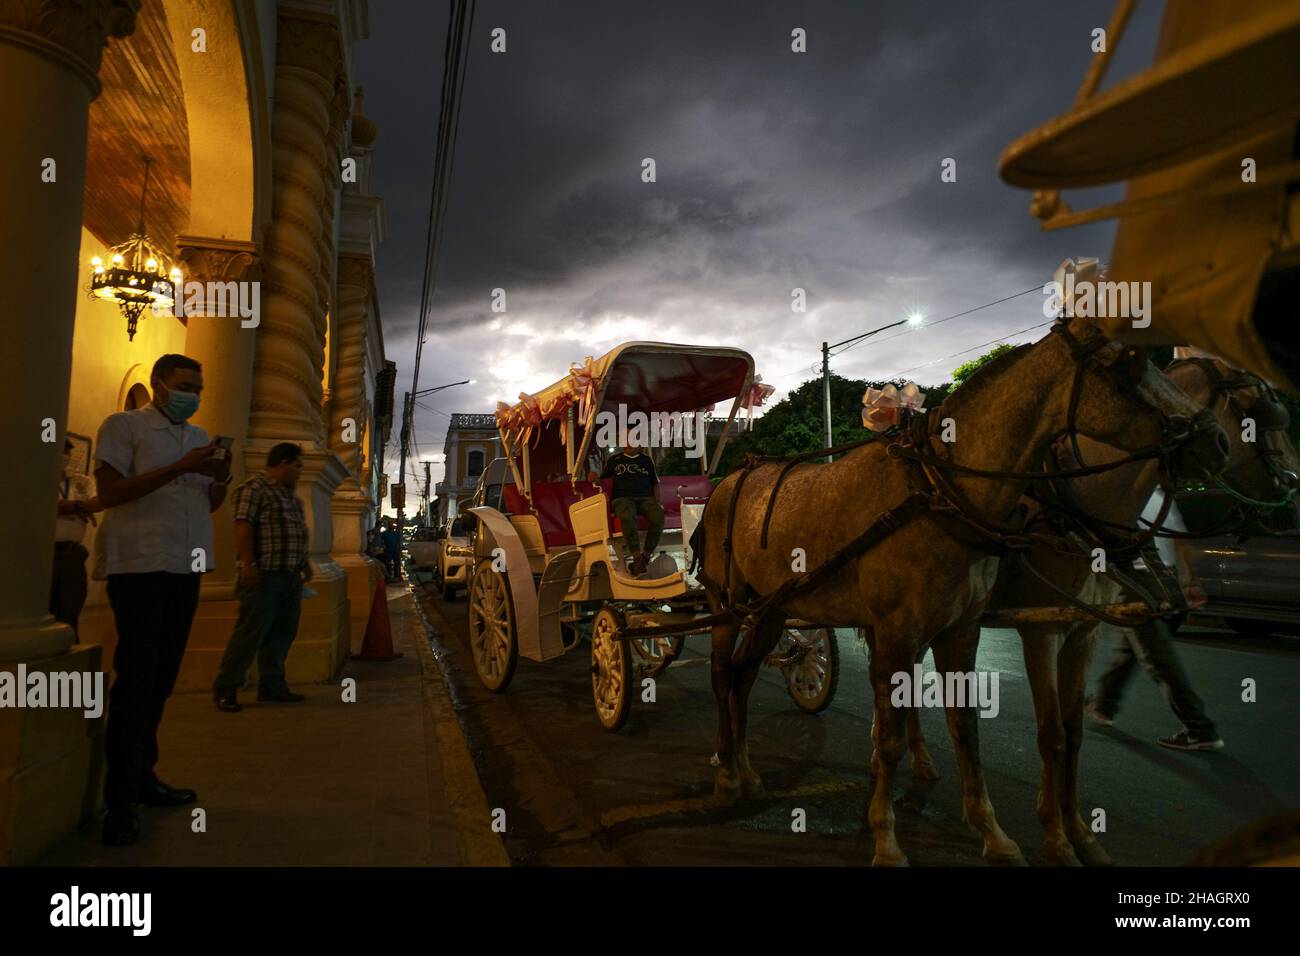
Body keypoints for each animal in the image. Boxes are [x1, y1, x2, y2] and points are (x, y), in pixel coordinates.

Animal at [691, 317, 1227, 868]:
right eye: (1129, 364)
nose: (1217, 440)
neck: (935, 489)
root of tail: (731, 478)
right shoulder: (913, 631)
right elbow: (893, 735)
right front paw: (887, 838)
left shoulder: (964, 629)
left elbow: (967, 725)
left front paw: (994, 832)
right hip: (726, 606)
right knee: (721, 675)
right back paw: (727, 773)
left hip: (771, 611)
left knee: (742, 679)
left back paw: (746, 771)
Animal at [894, 356, 1300, 868]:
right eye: (1258, 403)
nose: (1293, 481)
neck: (1079, 505)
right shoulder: (1043, 629)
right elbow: (1051, 734)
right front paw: (1055, 837)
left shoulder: (1084, 630)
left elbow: (1074, 733)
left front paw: (1080, 831)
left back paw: (922, 760)